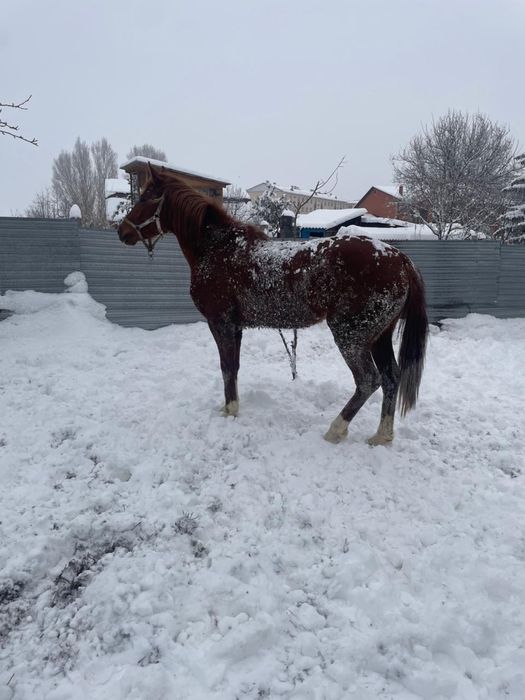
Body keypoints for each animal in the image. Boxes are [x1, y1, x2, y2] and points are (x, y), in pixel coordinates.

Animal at [118, 164, 428, 446]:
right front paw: (230, 407)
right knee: (391, 377)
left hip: (351, 335)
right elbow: (234, 366)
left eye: (145, 198)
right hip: (379, 335)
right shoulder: (235, 327)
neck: (218, 250)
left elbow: (226, 367)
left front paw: (230, 412)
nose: (122, 232)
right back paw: (382, 436)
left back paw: (335, 430)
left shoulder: (221, 323)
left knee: (368, 380)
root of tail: (399, 258)